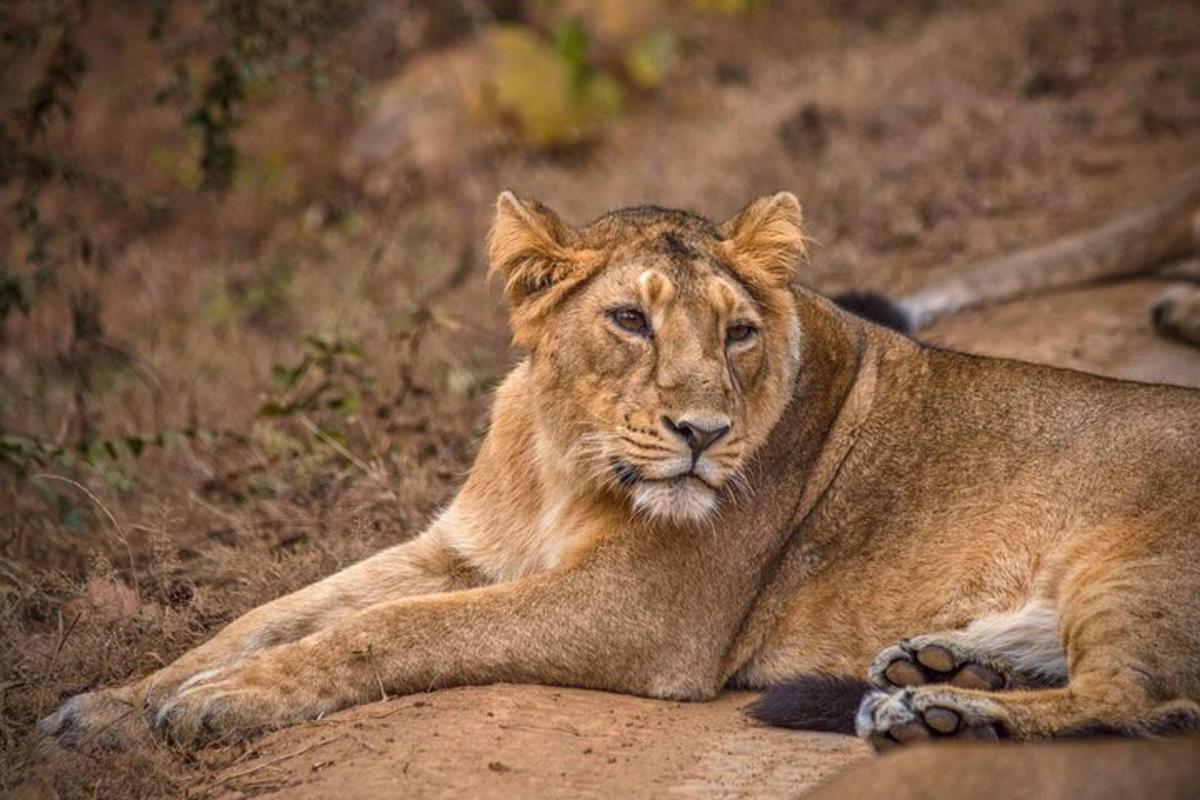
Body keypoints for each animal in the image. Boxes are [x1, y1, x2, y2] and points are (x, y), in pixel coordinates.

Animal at [37, 190, 1200, 753]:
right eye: (629, 320)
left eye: (738, 332)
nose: (701, 432)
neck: (564, 454)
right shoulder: (461, 548)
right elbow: (272, 613)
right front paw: (109, 707)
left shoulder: (642, 608)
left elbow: (391, 630)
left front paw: (222, 705)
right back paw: (939, 673)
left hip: (1132, 564)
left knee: (1137, 698)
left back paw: (934, 716)